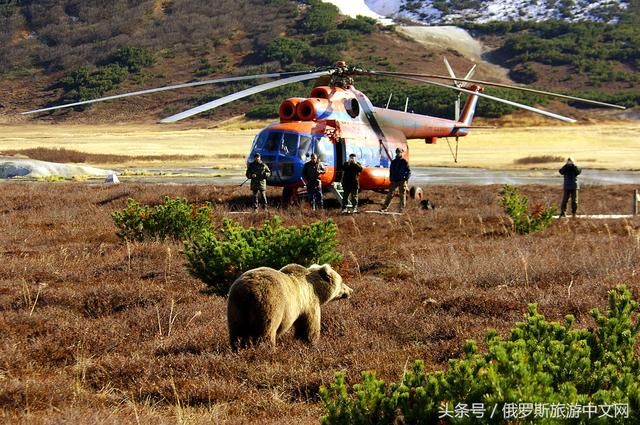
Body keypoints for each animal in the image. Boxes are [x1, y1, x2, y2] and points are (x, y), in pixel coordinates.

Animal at [226, 264, 356, 350]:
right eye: (342, 281)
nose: (351, 290)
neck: (316, 289)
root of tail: (247, 292)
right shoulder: (308, 303)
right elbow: (309, 327)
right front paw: (310, 342)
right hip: (269, 304)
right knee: (266, 331)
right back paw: (267, 349)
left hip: (236, 308)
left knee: (237, 332)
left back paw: (238, 348)